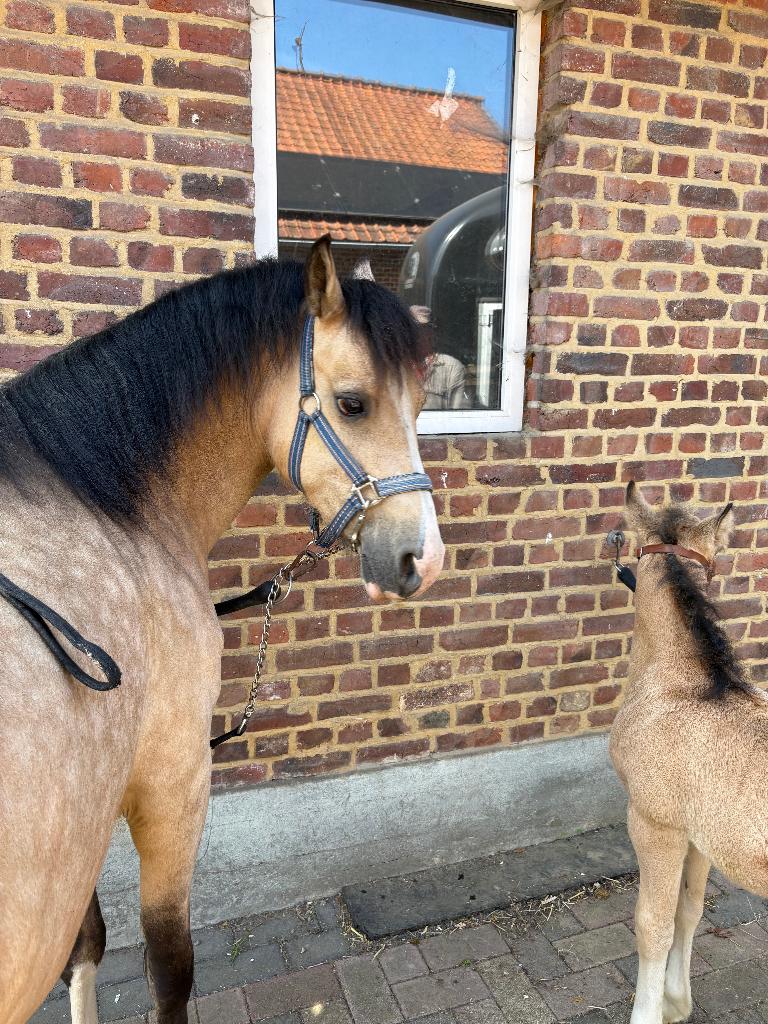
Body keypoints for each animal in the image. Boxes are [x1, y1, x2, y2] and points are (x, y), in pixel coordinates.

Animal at [0, 236, 444, 1024]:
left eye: (423, 403)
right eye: (353, 403)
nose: (424, 558)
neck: (110, 505)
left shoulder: (87, 813)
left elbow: (86, 945)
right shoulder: (171, 780)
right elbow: (168, 964)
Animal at [610, 481, 767, 1024]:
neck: (687, 685)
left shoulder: (654, 824)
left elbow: (651, 924)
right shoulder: (698, 834)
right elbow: (690, 908)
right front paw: (678, 1003)